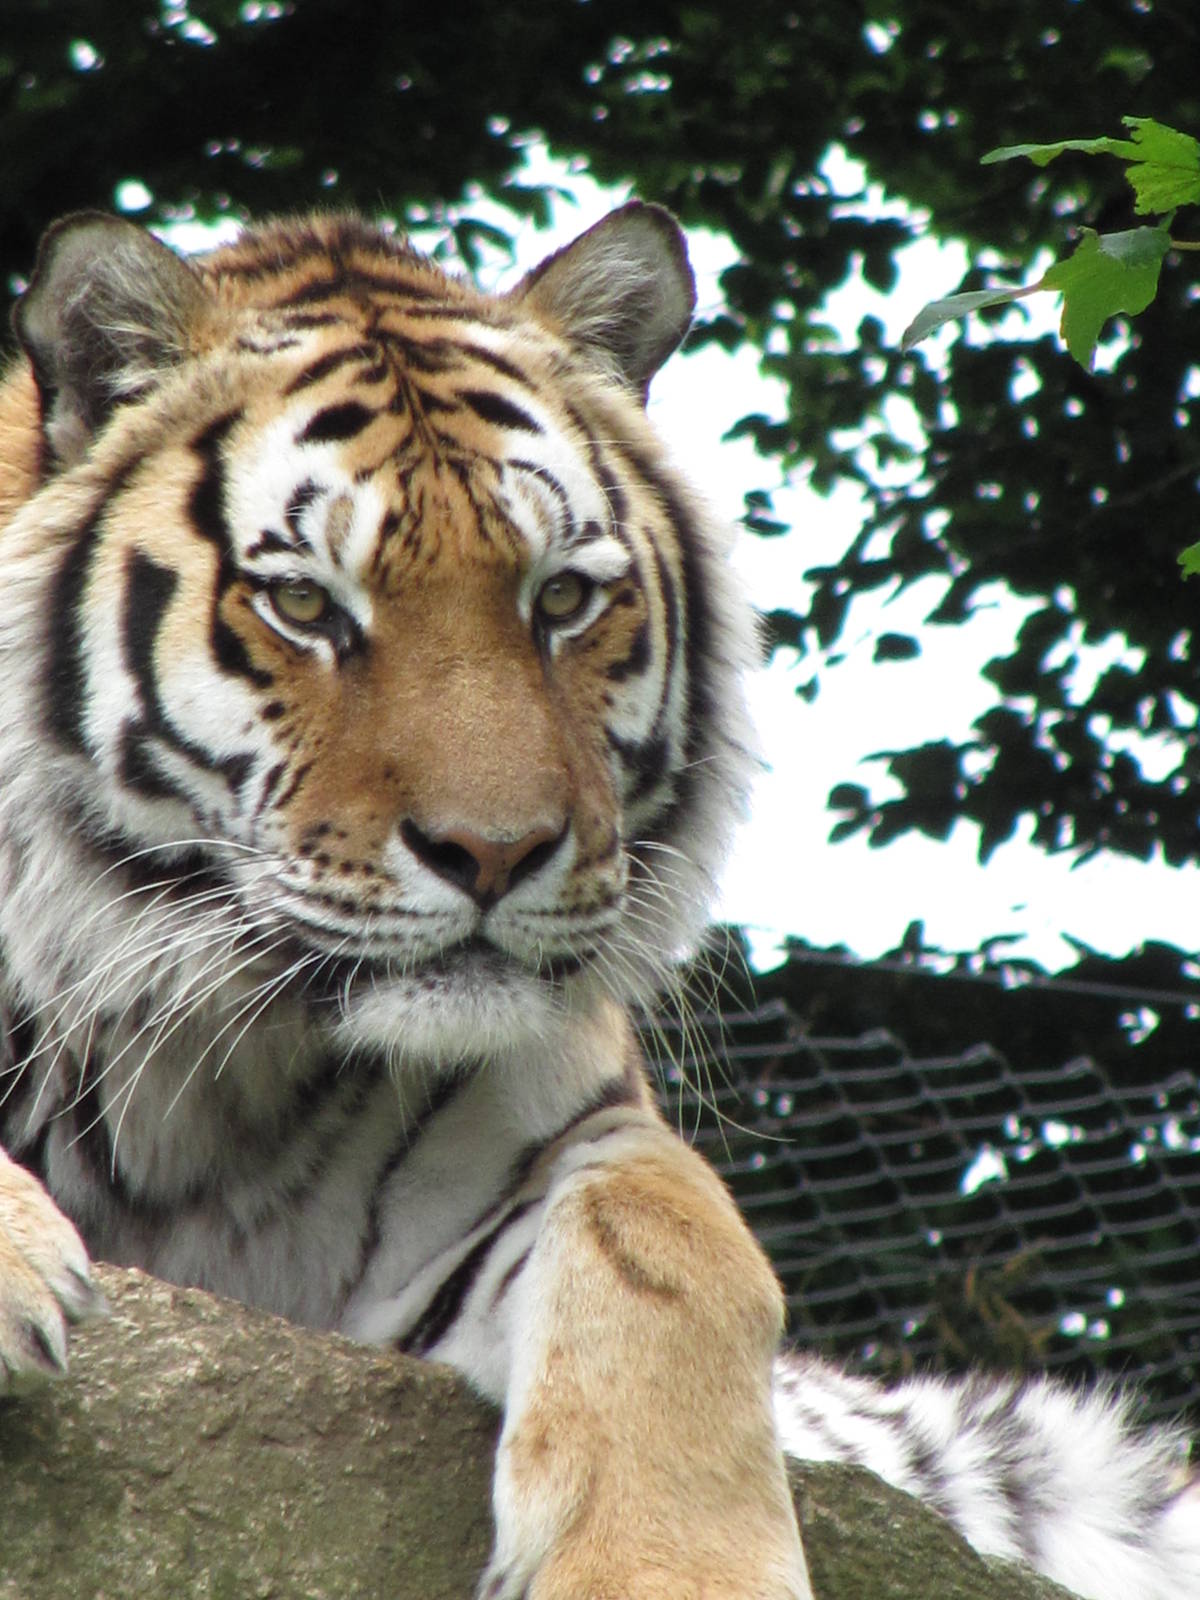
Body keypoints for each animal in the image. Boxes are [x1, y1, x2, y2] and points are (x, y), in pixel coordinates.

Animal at [0, 200, 1196, 1600]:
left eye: (561, 597)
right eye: (303, 602)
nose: (495, 851)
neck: (212, 1076)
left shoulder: (569, 1138)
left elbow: (670, 1252)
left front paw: (669, 1570)